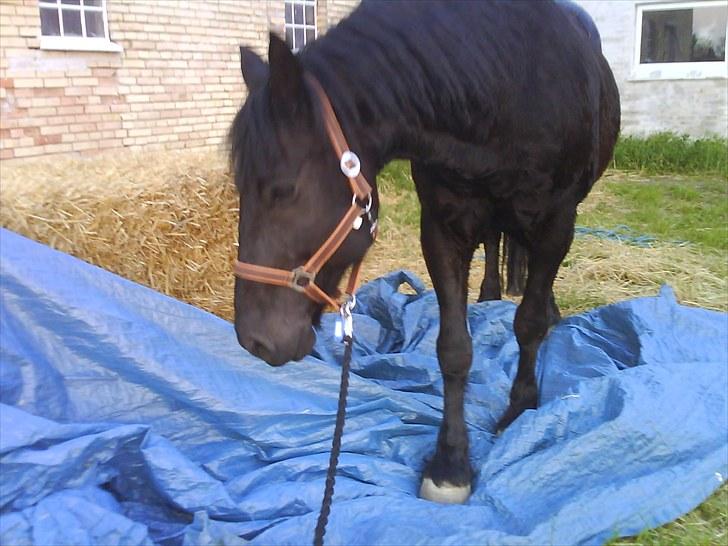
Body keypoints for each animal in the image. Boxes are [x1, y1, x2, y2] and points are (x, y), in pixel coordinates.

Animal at [230, 0, 616, 502]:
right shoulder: (441, 226)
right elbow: (453, 348)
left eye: (282, 189)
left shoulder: (556, 221)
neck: (505, 87)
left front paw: (522, 408)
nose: (253, 341)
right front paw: (450, 464)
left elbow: (528, 324)